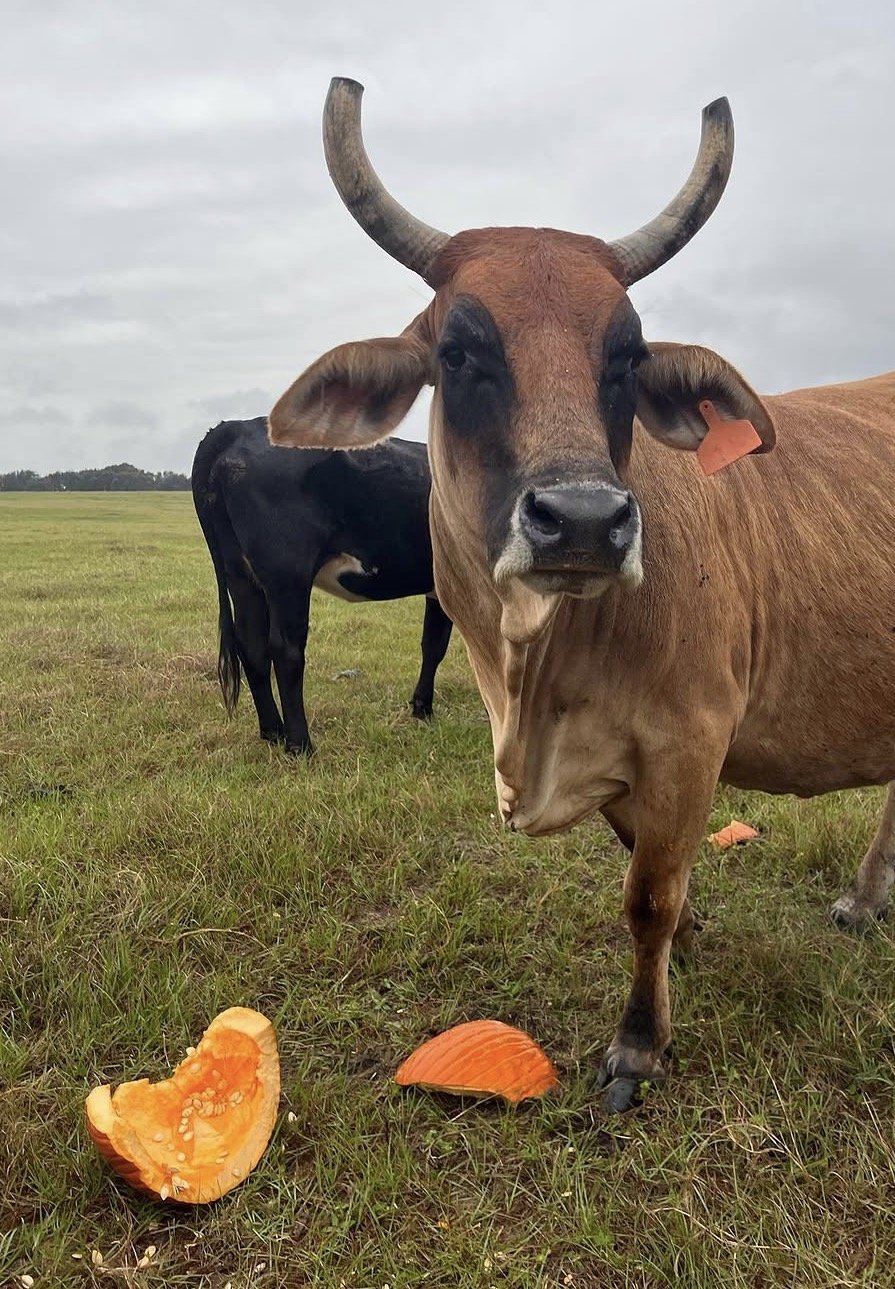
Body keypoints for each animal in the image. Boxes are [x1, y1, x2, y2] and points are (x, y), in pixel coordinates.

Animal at [191, 416, 452, 757]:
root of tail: (240, 426)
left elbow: (432, 645)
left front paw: (422, 709)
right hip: (288, 574)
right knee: (285, 649)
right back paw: (299, 743)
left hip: (241, 574)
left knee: (252, 645)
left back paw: (272, 730)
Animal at [267, 79, 895, 1110]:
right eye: (458, 351)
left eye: (628, 356)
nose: (587, 521)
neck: (536, 671)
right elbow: (658, 880)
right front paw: (692, 946)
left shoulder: (690, 740)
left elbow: (647, 895)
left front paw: (639, 1041)